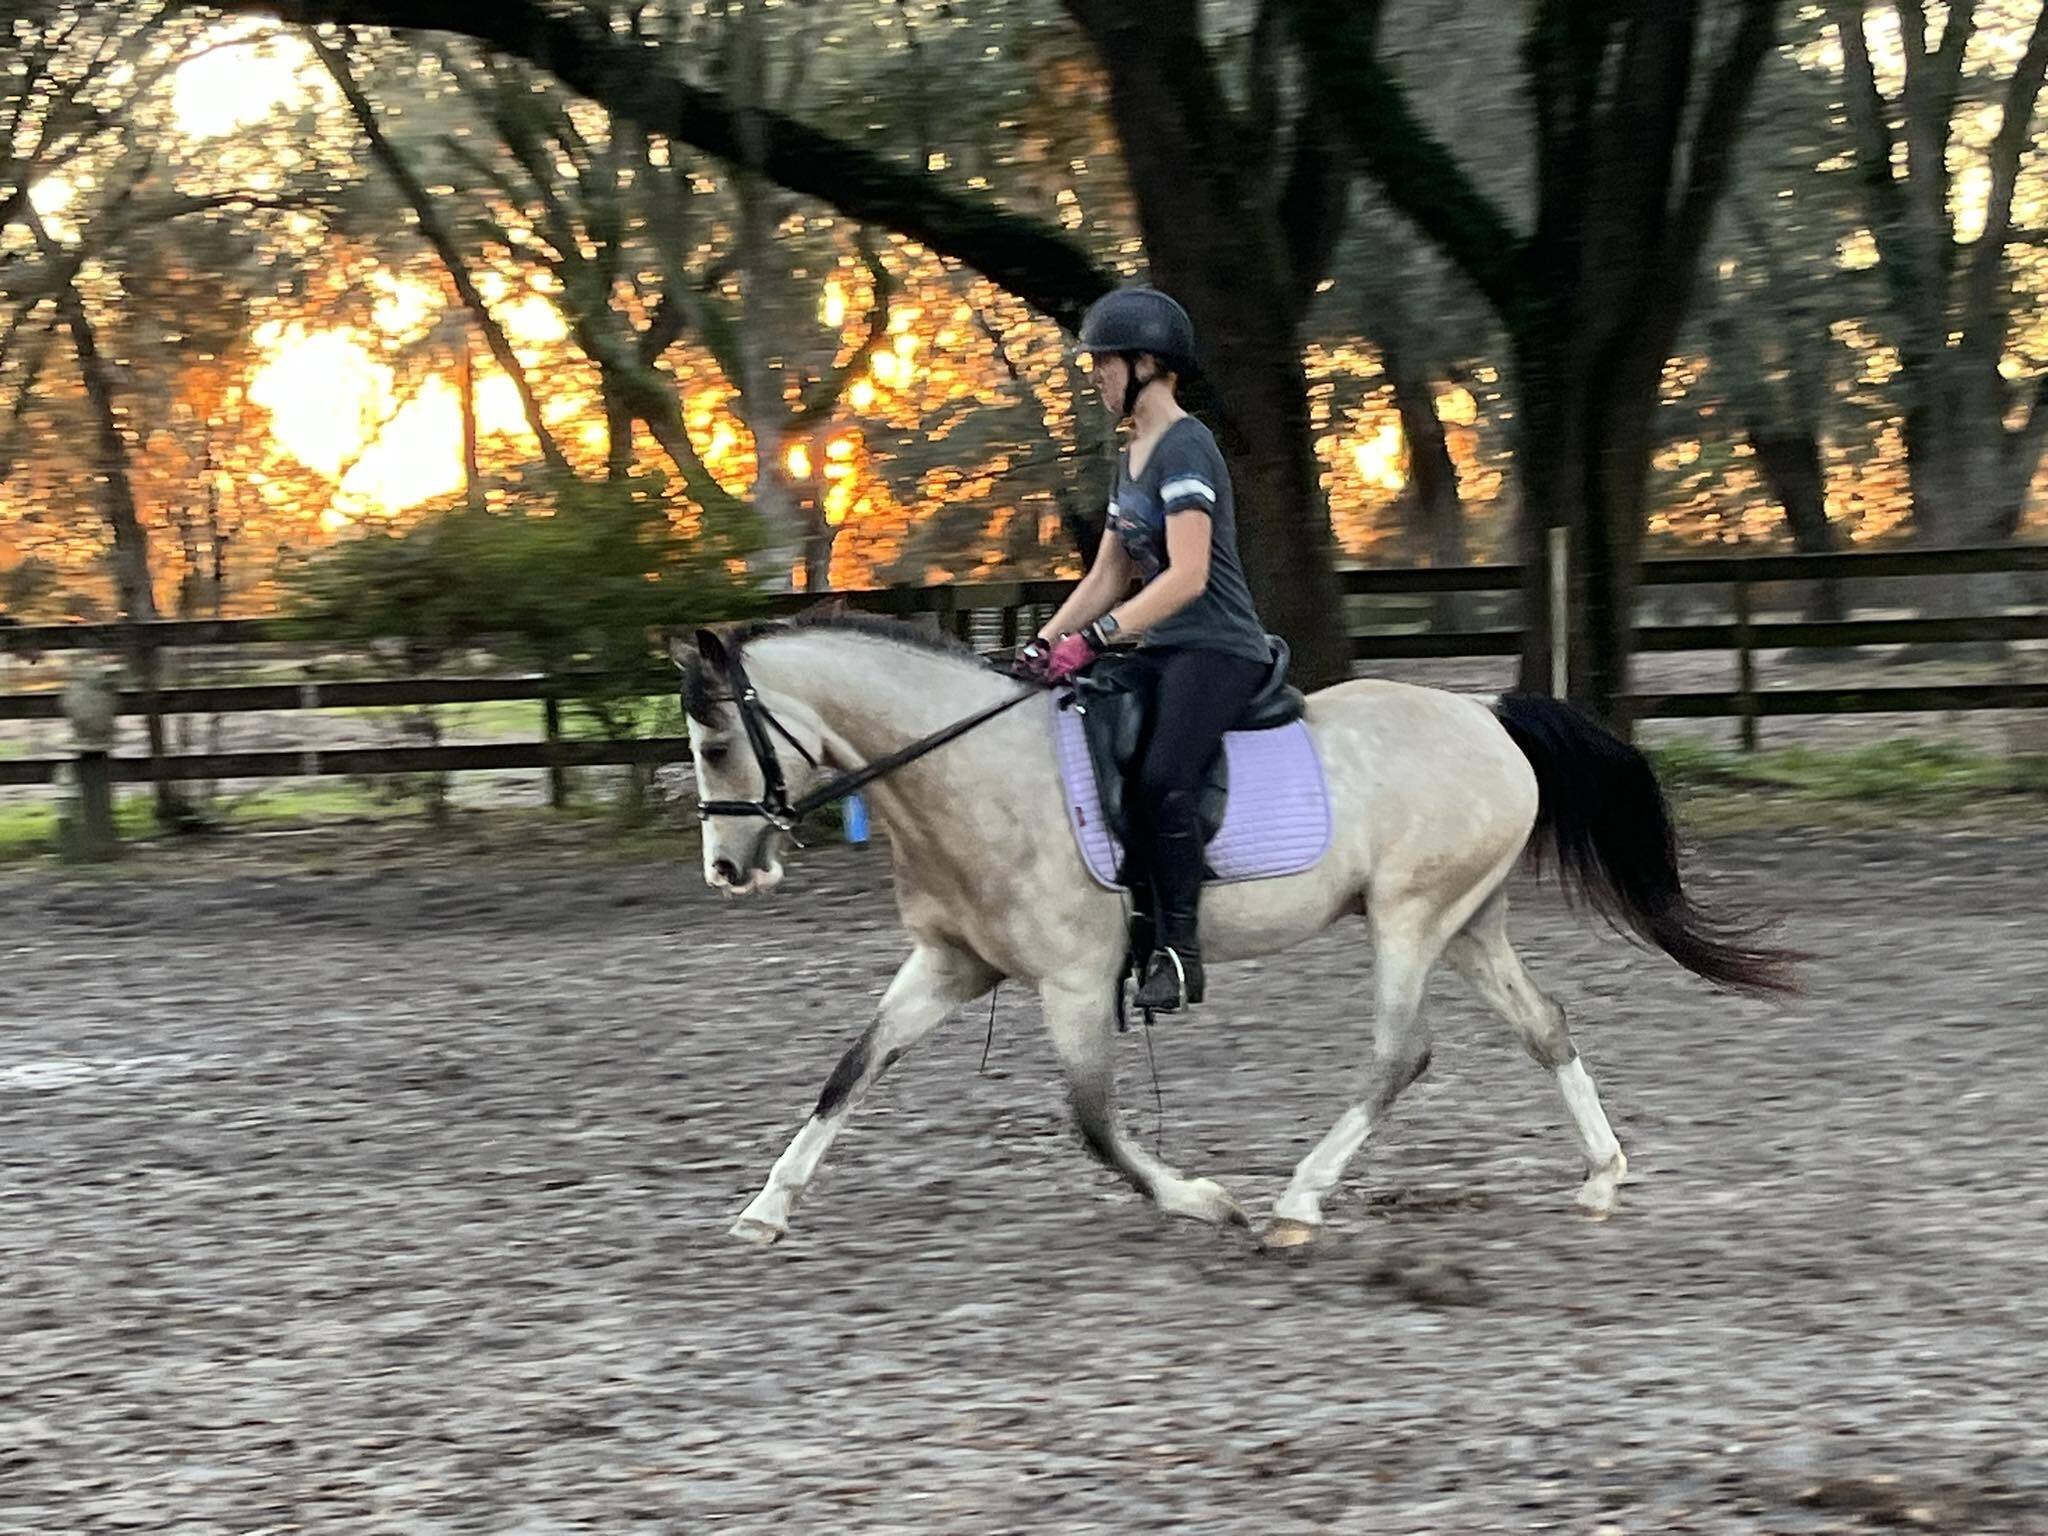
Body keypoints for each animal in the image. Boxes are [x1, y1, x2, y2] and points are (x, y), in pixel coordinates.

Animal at [674, 611, 1795, 1249]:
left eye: (717, 739)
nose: (726, 872)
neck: (971, 771)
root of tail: (1487, 714)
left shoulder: (1073, 981)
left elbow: (1093, 1122)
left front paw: (1204, 1202)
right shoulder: (950, 965)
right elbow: (850, 1071)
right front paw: (766, 1208)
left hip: (1410, 916)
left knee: (1401, 1053)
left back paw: (1297, 1203)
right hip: (1469, 921)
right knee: (1545, 1026)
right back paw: (1601, 1180)